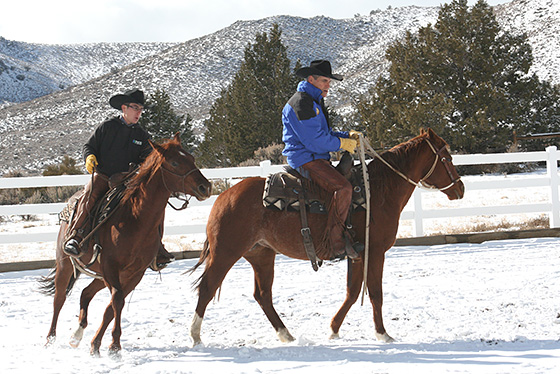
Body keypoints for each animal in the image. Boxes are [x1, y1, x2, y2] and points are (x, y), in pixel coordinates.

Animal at [40, 133, 212, 356]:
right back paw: (50, 339)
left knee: (86, 293)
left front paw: (98, 344)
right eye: (175, 162)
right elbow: (117, 301)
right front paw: (114, 344)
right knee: (59, 299)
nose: (205, 187)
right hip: (66, 264)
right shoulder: (111, 267)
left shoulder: (133, 273)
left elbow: (111, 307)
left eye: (191, 158)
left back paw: (76, 336)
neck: (135, 218)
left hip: (101, 274)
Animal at [188, 129, 464, 344]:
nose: (460, 188)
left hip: (261, 254)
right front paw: (383, 334)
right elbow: (375, 292)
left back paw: (286, 334)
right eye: (447, 158)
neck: (377, 192)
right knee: (207, 288)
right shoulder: (375, 252)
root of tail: (223, 197)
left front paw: (333, 329)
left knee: (262, 295)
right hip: (226, 253)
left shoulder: (357, 254)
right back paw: (195, 336)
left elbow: (353, 292)